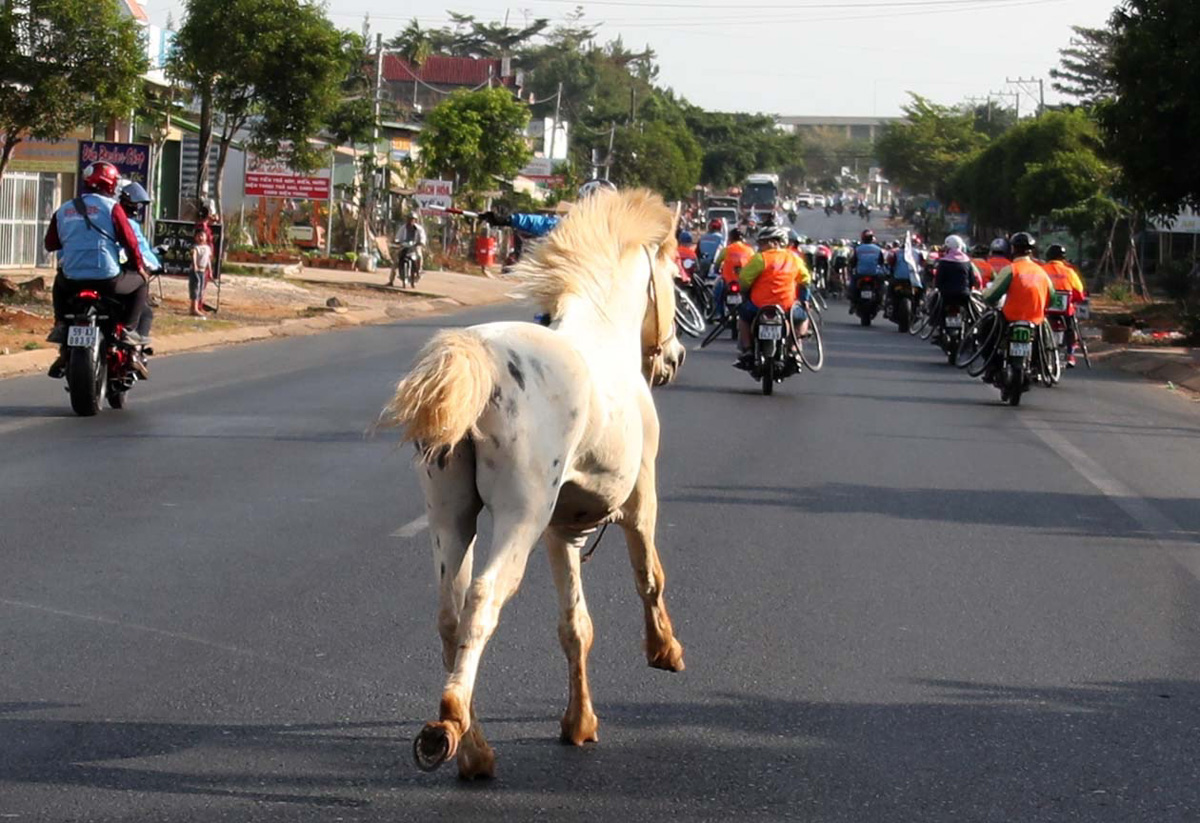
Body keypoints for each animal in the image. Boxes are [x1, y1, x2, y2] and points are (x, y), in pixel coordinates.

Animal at [379, 187, 691, 782]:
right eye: (673, 276)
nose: (673, 357)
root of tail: (478, 359)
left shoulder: (563, 530)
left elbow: (576, 626)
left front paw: (580, 723)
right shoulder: (640, 498)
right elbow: (651, 576)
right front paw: (665, 650)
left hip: (451, 516)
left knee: (451, 612)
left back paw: (472, 747)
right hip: (519, 516)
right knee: (483, 599)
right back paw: (448, 728)